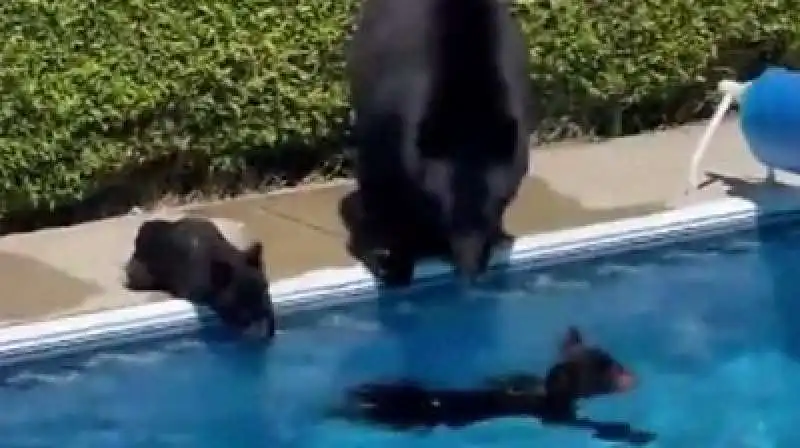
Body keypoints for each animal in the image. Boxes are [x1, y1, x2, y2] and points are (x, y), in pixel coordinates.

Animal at [342, 0, 532, 286]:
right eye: (446, 214)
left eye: (494, 207)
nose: (469, 270)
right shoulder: (387, 117)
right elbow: (380, 189)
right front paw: (389, 257)